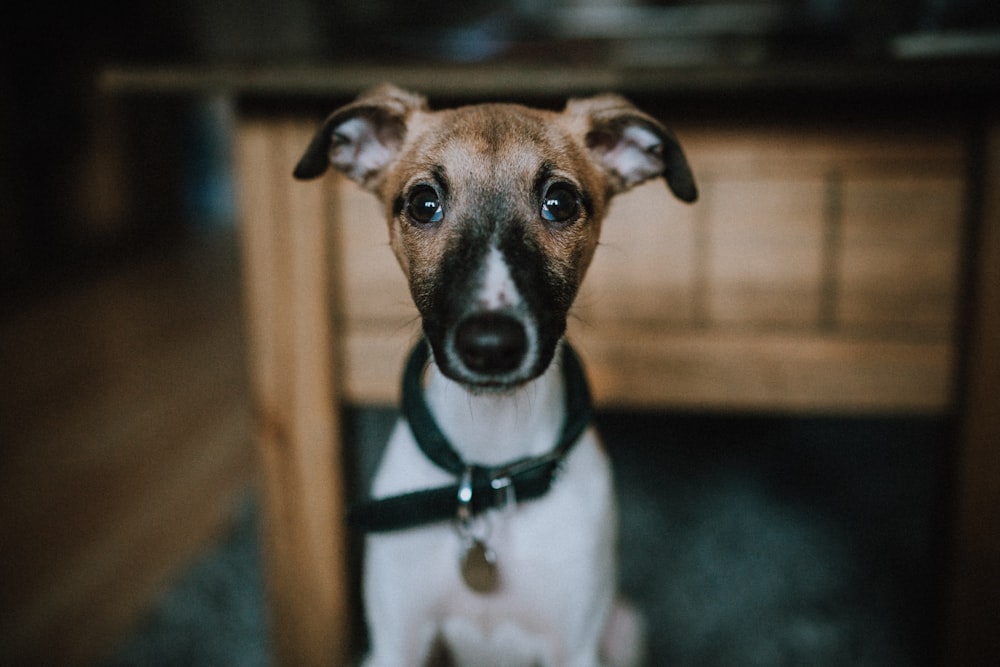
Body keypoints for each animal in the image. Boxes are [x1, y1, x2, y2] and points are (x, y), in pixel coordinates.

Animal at [290, 86, 696, 667]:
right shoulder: (395, 644)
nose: (490, 347)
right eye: (424, 203)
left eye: (560, 202)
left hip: (625, 627)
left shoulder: (576, 646)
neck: (489, 467)